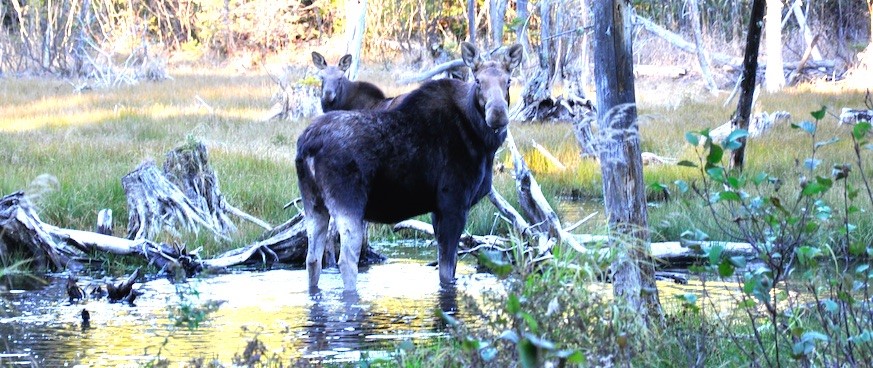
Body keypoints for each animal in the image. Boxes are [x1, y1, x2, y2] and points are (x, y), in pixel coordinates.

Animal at [296, 41, 520, 292]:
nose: (498, 114)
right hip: (348, 202)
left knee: (312, 259)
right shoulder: (453, 202)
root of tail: (307, 146)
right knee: (345, 261)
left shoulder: (437, 208)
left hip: (313, 204)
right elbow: (446, 271)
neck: (483, 143)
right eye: (479, 81)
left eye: (508, 81)